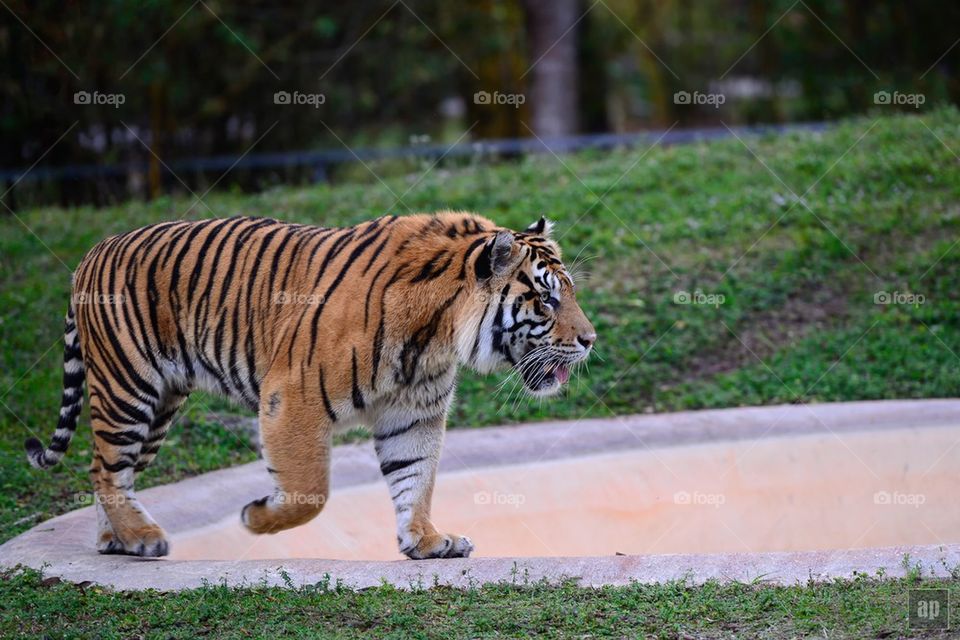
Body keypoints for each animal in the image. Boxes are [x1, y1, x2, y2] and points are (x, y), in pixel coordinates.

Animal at [26, 212, 596, 556]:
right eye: (548, 300)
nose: (590, 340)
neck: (435, 332)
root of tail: (93, 251)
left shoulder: (413, 413)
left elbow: (416, 478)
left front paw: (425, 541)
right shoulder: (292, 398)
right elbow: (311, 493)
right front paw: (255, 520)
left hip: (160, 405)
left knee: (105, 469)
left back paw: (117, 540)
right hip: (129, 389)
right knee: (105, 467)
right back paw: (141, 538)